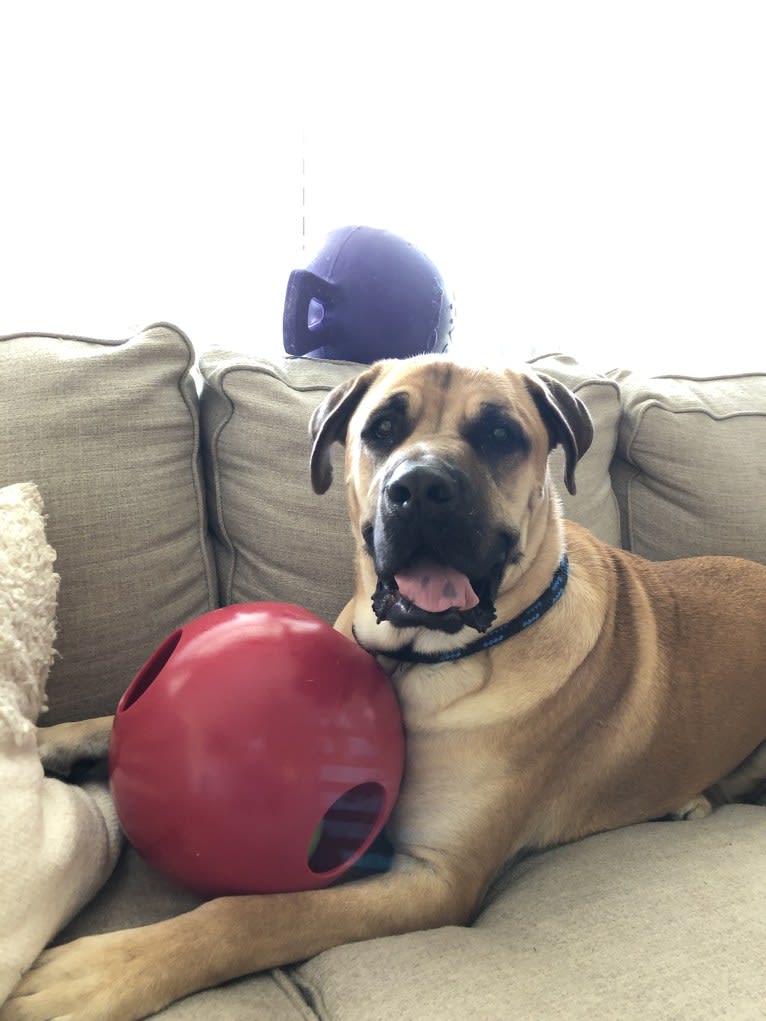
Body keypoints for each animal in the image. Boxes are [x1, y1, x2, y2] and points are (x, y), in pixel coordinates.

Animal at [6, 357, 766, 1021]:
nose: (420, 487)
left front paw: (105, 971)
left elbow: (256, 912)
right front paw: (45, 741)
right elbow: (107, 719)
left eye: (500, 435)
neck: (419, 662)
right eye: (382, 428)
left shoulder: (435, 879)